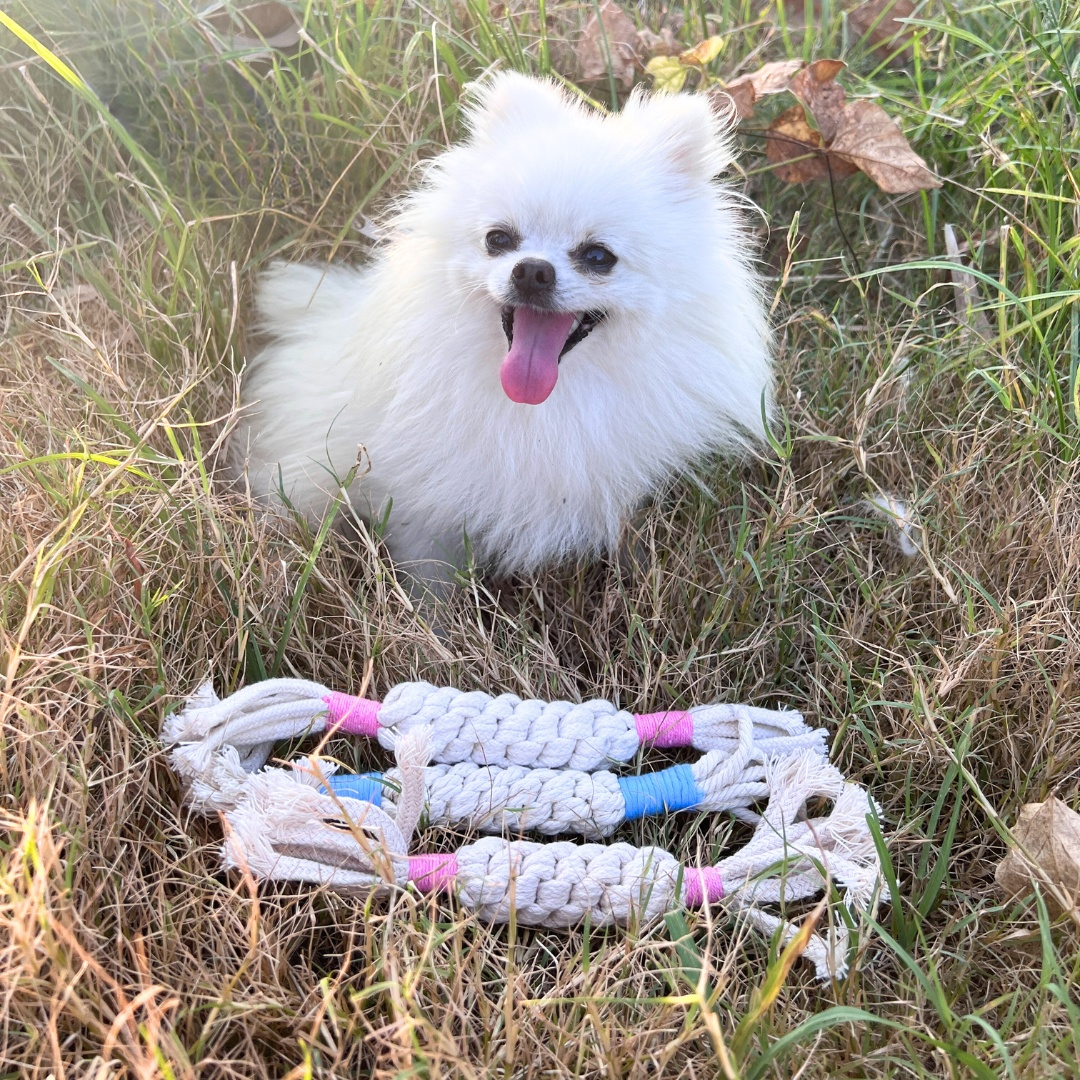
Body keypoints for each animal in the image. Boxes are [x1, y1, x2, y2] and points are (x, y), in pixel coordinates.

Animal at [235, 73, 773, 591]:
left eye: (599, 256)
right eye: (499, 239)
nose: (532, 271)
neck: (540, 408)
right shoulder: (425, 504)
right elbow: (430, 581)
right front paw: (435, 624)